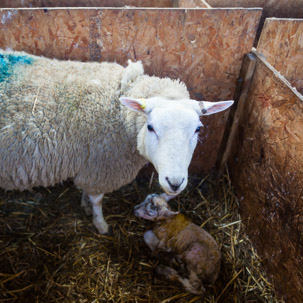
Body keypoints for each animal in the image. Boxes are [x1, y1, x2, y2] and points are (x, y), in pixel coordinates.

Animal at [0, 51, 234, 234]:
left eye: (198, 129)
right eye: (151, 127)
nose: (175, 183)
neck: (117, 110)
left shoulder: (92, 164)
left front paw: (85, 205)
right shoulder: (101, 166)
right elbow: (97, 200)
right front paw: (101, 225)